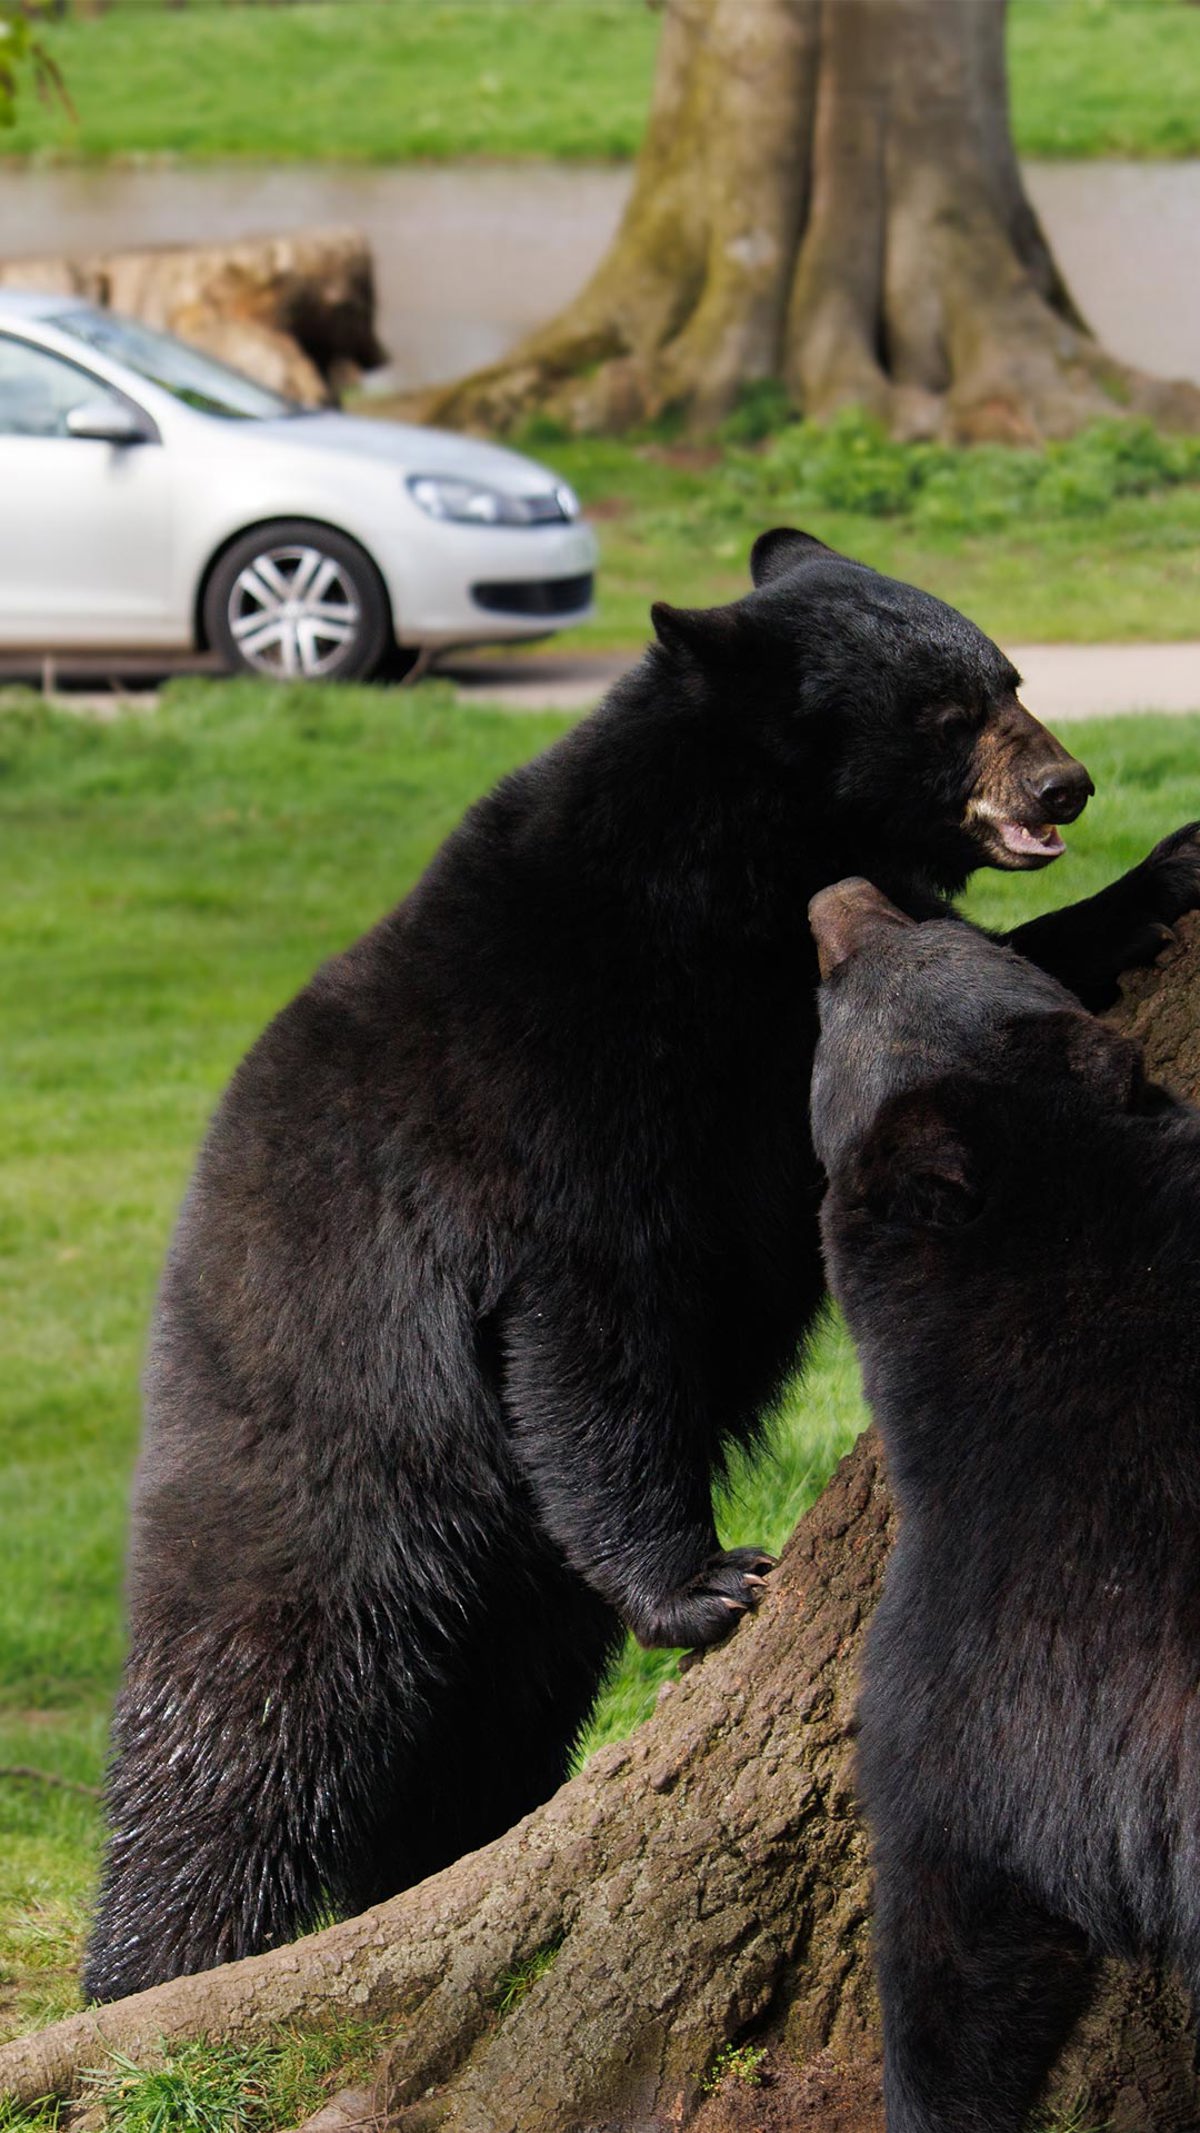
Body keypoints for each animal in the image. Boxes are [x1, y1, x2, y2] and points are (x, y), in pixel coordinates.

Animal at [88, 533, 1200, 1996]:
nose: (1066, 783)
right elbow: (593, 1325)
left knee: (468, 1747)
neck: (720, 879)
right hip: (321, 1475)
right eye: (946, 711)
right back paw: (151, 1969)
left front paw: (1164, 874)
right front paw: (706, 1582)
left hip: (502, 1612)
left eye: (1010, 675)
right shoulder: (564, 1080)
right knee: (244, 1732)